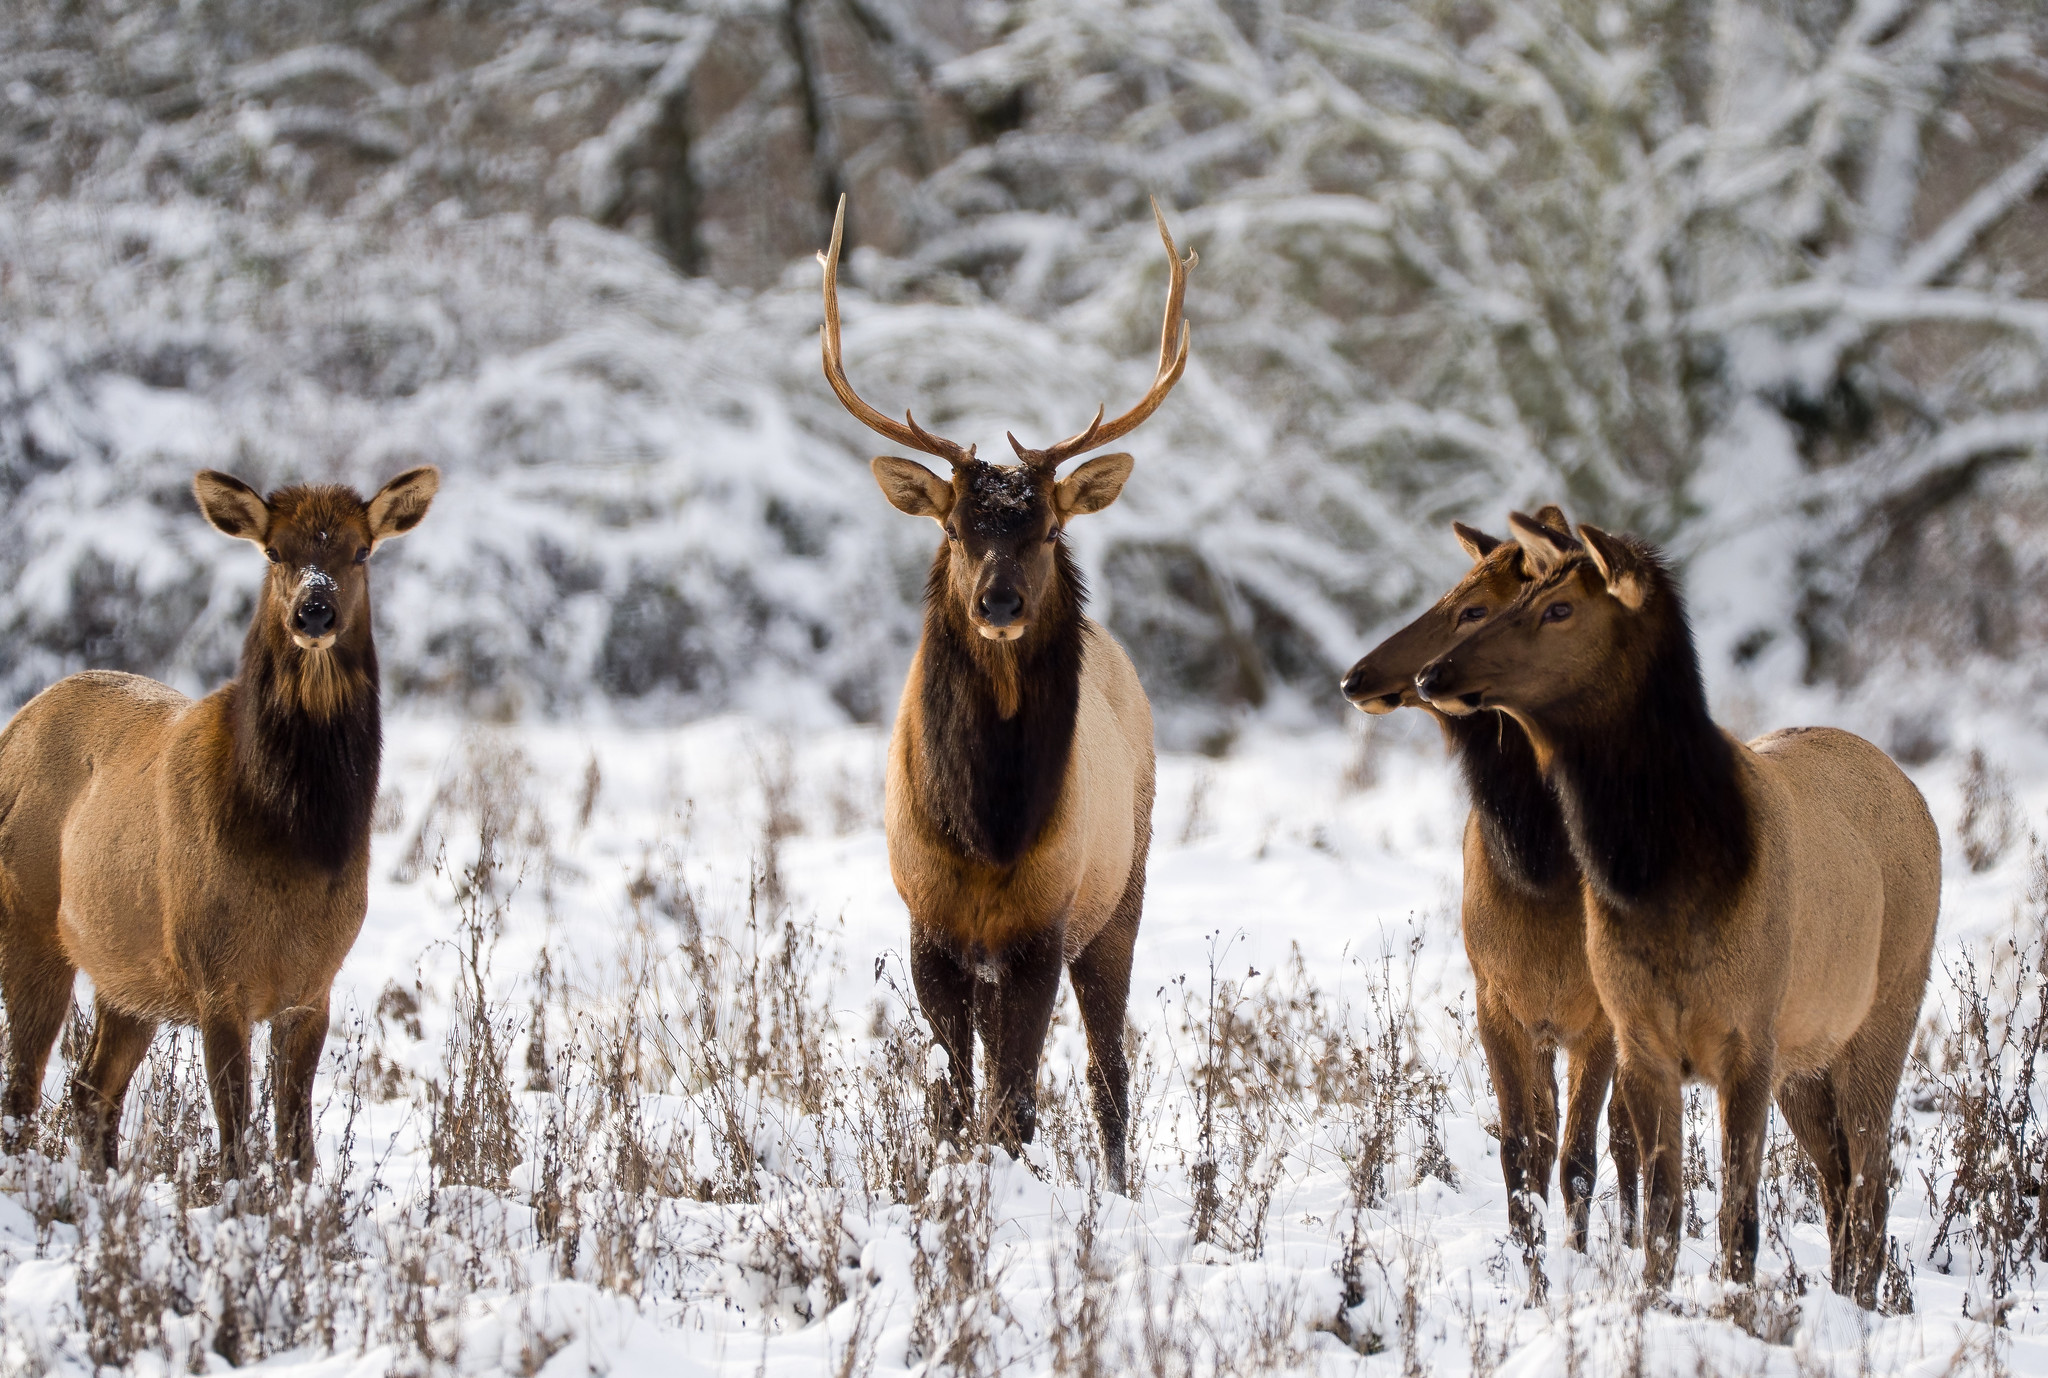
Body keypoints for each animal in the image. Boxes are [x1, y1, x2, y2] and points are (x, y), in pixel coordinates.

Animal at [0, 466, 440, 1179]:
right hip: (29, 919)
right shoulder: (216, 975)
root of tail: (14, 726)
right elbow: (235, 1137)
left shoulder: (313, 983)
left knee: (89, 1090)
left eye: (361, 551)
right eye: (274, 551)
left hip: (128, 970)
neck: (293, 844)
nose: (313, 612)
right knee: (22, 1089)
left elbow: (296, 1144)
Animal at [823, 196, 1196, 1195]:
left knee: (1108, 1067)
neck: (988, 828)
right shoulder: (930, 928)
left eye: (1050, 527)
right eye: (955, 526)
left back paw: (1120, 1183)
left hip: (1125, 891)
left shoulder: (1043, 926)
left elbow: (1016, 1105)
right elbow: (956, 1102)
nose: (999, 603)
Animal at [1335, 505, 1638, 1261]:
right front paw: (1529, 1261)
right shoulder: (1497, 1001)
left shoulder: (1599, 1018)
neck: (1540, 871)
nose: (1355, 678)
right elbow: (1520, 1152)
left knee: (1629, 1134)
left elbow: (1581, 1158)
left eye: (1475, 609)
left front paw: (1580, 1264)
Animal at [1417, 515, 1941, 1302]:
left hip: (1884, 1016)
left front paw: (1736, 1309)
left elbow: (1737, 1216)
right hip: (1808, 1054)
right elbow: (1663, 1211)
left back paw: (1864, 1305)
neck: (1665, 885)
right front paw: (1655, 1302)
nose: (1433, 673)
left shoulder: (1749, 1037)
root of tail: (1913, 788)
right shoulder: (1643, 1040)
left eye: (1559, 608)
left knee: (1871, 1179)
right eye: (1526, 594)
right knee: (1837, 1173)